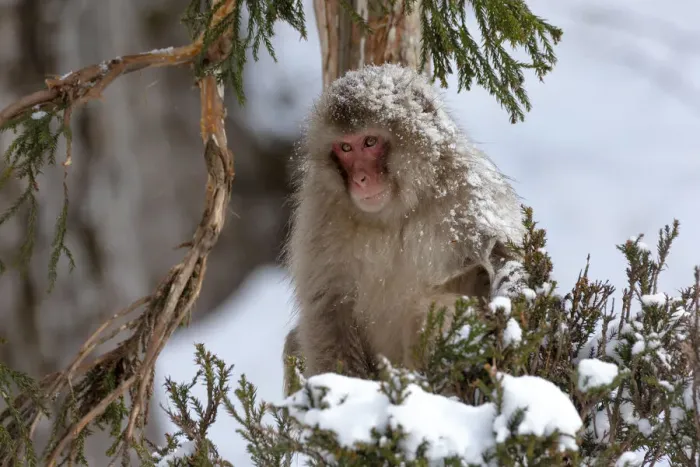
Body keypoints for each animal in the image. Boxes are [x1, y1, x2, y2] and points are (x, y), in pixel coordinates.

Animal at [282, 64, 527, 395]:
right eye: (345, 148)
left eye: (370, 142)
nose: (360, 179)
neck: (394, 212)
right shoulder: (320, 212)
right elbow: (327, 306)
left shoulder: (469, 190)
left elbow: (501, 256)